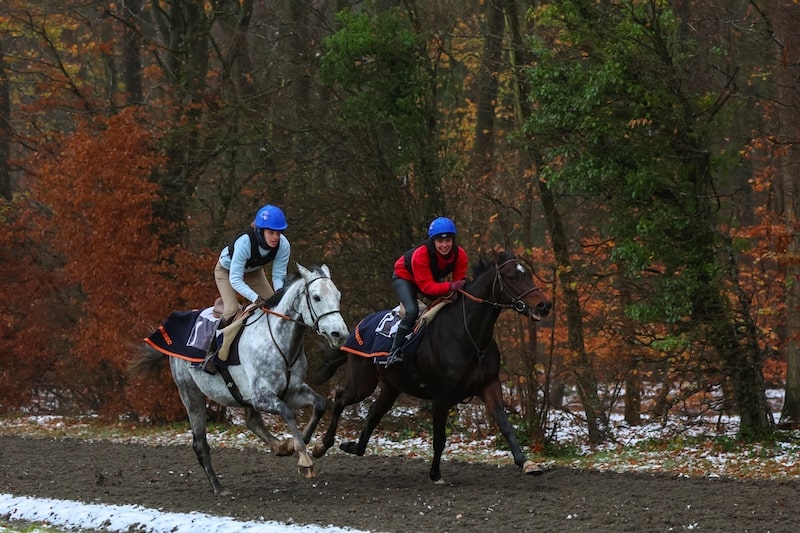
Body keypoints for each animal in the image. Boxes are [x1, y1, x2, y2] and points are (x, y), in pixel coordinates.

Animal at [131, 263, 349, 495]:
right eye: (316, 297)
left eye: (338, 295)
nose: (339, 334)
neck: (279, 341)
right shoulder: (261, 396)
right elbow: (288, 413)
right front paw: (304, 459)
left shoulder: (292, 390)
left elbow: (320, 404)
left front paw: (308, 445)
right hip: (190, 393)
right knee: (200, 443)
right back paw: (218, 487)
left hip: (237, 395)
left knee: (253, 422)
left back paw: (279, 446)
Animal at [312, 249, 552, 484]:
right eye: (512, 277)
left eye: (527, 273)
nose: (544, 305)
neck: (469, 336)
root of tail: (356, 328)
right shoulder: (441, 396)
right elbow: (439, 438)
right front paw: (436, 474)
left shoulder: (489, 385)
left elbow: (505, 425)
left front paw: (526, 463)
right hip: (363, 383)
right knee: (340, 398)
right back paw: (321, 446)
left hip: (391, 386)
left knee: (373, 413)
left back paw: (353, 446)